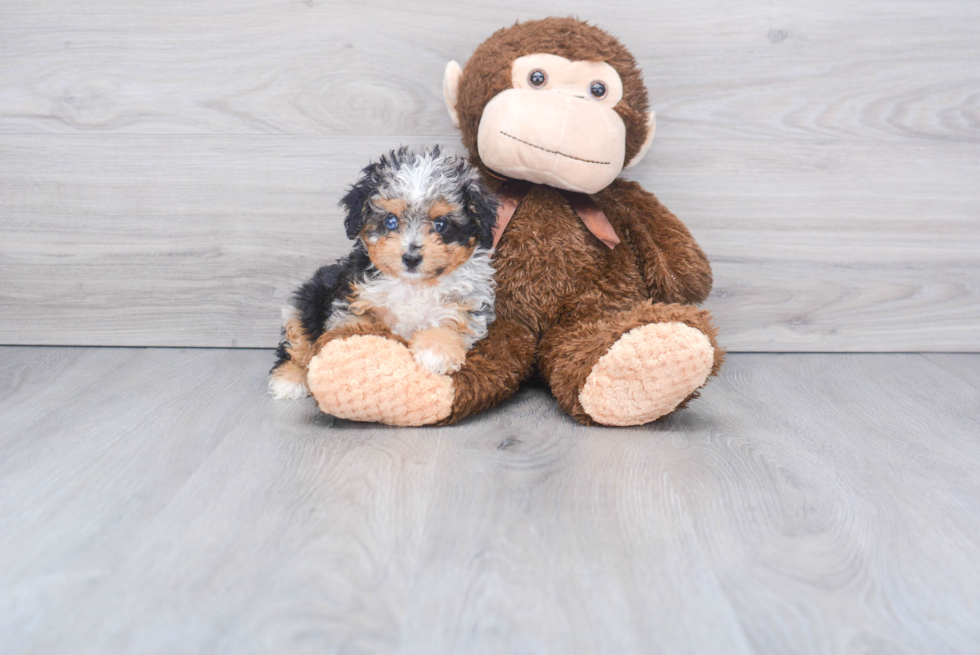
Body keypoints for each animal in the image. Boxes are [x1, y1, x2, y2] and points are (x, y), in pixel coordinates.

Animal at [268, 147, 498, 400]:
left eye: (440, 224)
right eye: (390, 221)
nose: (411, 258)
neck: (413, 285)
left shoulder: (465, 307)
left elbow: (451, 326)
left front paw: (434, 352)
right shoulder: (354, 302)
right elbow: (357, 328)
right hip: (307, 301)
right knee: (297, 342)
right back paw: (289, 378)